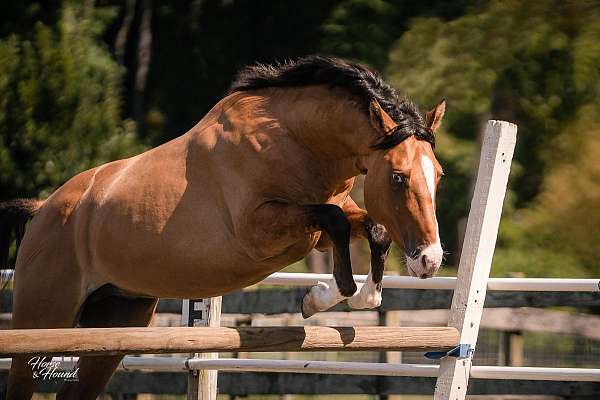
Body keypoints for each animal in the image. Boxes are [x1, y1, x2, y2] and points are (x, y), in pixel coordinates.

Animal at [1, 54, 446, 398]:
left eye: (438, 175)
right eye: (398, 177)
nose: (430, 260)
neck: (294, 140)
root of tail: (43, 210)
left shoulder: (318, 231)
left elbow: (373, 230)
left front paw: (357, 297)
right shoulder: (260, 231)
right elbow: (337, 224)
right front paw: (321, 296)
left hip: (115, 322)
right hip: (43, 320)